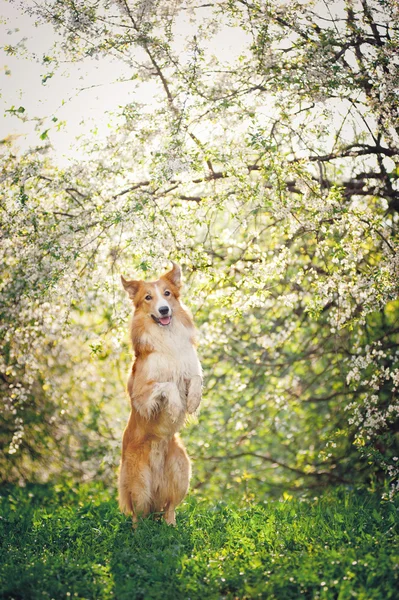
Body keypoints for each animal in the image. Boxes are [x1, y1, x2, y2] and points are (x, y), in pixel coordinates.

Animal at [117, 262, 202, 524]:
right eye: (148, 297)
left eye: (167, 294)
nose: (164, 310)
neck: (167, 338)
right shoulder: (141, 394)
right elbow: (167, 386)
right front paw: (175, 407)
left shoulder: (188, 369)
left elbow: (195, 379)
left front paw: (193, 401)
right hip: (138, 483)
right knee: (137, 515)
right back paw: (139, 530)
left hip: (181, 470)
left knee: (169, 507)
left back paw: (171, 525)